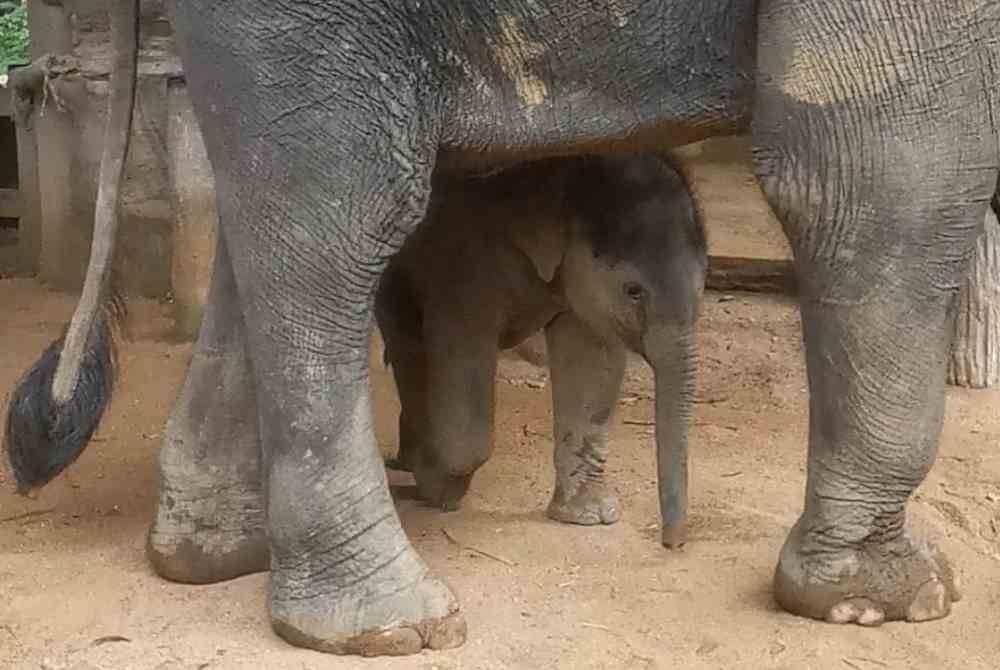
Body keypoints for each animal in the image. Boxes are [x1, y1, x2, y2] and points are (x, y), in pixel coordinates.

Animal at [378, 152, 708, 544]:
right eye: (633, 291)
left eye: (704, 282)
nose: (671, 542)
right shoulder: (461, 266)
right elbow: (461, 354)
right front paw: (439, 490)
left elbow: (590, 363)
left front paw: (588, 517)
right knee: (408, 340)